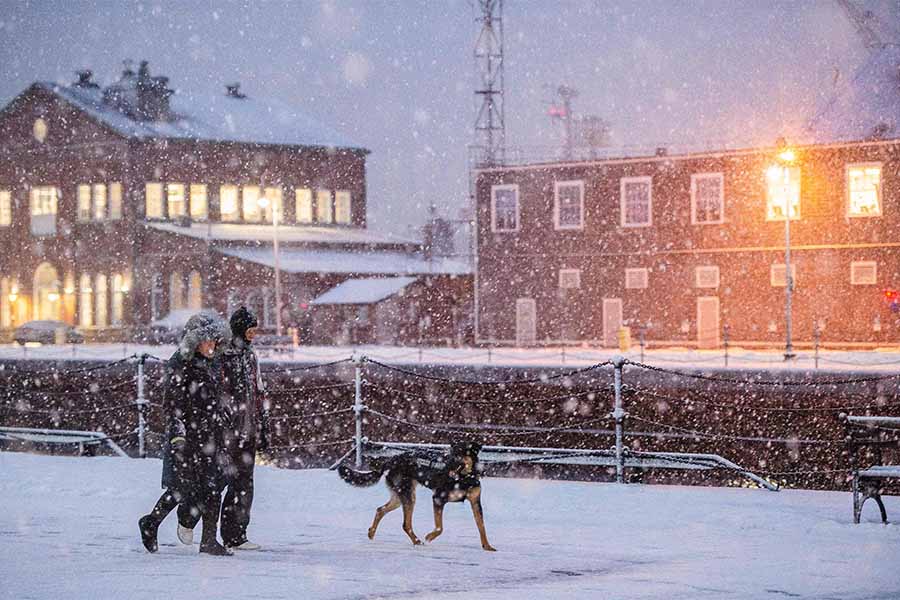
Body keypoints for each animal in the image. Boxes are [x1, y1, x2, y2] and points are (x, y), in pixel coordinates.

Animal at [338, 440, 496, 552]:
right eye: (452, 453)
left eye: (459, 454)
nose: (448, 464)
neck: (464, 478)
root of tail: (391, 460)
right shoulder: (438, 498)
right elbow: (439, 528)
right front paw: (429, 537)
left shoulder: (476, 503)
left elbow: (481, 526)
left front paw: (487, 546)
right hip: (408, 496)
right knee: (405, 524)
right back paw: (417, 541)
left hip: (399, 497)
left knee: (380, 509)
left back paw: (372, 533)